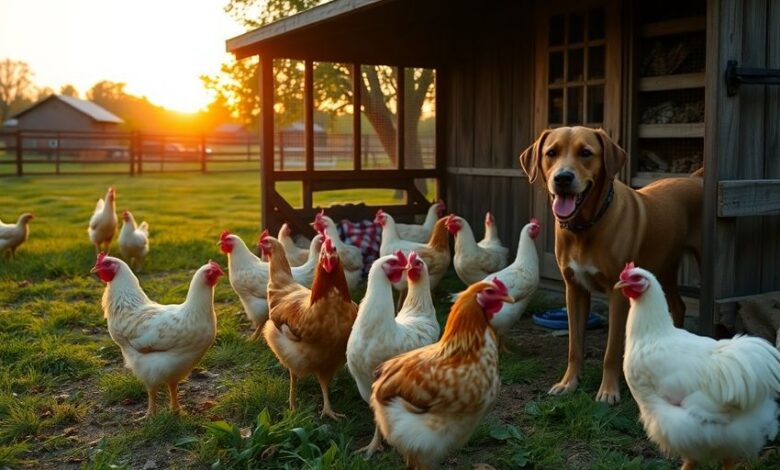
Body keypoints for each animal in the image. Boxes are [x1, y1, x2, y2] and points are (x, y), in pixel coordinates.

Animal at [520, 126, 704, 402]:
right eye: (551, 153)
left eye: (586, 153)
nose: (563, 178)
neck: (584, 227)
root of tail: (694, 178)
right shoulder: (574, 290)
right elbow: (575, 346)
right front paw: (568, 383)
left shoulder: (618, 294)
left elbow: (611, 350)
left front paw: (608, 391)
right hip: (664, 265)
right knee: (678, 305)